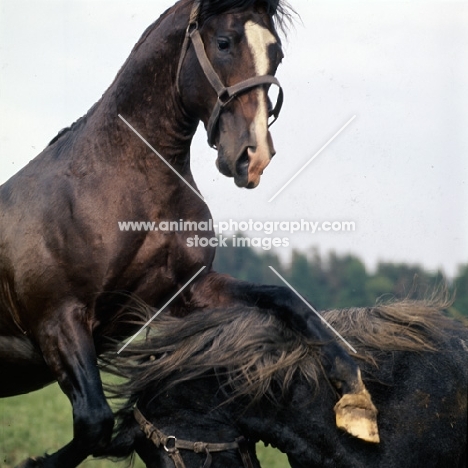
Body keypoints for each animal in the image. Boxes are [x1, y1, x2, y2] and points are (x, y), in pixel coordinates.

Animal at [0, 1, 376, 466]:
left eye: (277, 54)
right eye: (224, 42)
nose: (254, 157)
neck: (126, 185)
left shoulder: (186, 292)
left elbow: (288, 301)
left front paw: (356, 399)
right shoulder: (59, 318)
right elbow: (95, 422)